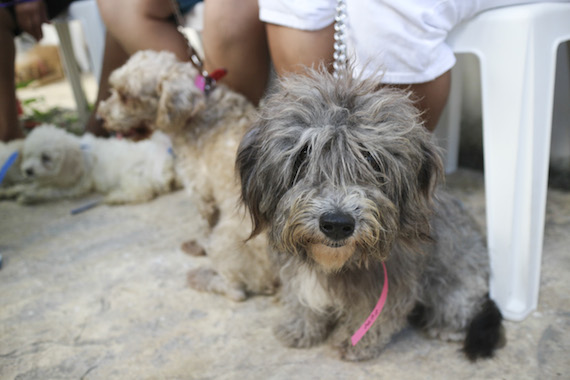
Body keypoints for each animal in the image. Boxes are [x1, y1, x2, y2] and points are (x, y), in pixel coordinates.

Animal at [0, 124, 176, 203]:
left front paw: (27, 195)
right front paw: (11, 191)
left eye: (46, 158)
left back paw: (116, 197)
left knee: (142, 193)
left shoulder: (73, 187)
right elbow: (32, 184)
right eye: (28, 155)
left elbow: (45, 191)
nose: (28, 171)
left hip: (132, 175)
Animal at [99, 50, 278, 302]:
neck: (198, 112)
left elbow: (205, 225)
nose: (100, 118)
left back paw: (202, 278)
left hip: (226, 239)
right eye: (114, 89)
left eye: (126, 96)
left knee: (236, 291)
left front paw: (199, 245)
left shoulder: (199, 189)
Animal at [235, 68, 502, 362]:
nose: (337, 224)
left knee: (461, 300)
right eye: (303, 155)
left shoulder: (390, 281)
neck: (337, 262)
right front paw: (300, 328)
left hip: (459, 275)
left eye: (371, 159)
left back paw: (447, 326)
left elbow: (373, 315)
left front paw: (355, 343)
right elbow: (302, 299)